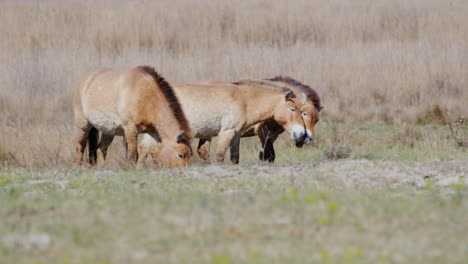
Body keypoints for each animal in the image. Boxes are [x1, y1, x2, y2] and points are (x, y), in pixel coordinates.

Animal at [138, 81, 308, 164]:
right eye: (292, 109)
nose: (301, 134)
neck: (245, 101)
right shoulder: (226, 132)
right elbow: (220, 157)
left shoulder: (236, 135)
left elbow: (235, 158)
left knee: (145, 149)